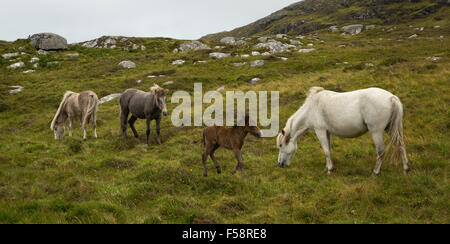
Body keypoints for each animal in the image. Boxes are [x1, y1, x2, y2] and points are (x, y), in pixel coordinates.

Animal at [276, 87, 410, 175]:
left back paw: (375, 172)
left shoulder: (320, 131)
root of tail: (392, 97)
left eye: (281, 145)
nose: (280, 164)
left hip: (376, 131)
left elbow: (326, 151)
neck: (311, 108)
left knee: (381, 150)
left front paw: (330, 169)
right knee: (401, 144)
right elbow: (329, 150)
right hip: (392, 128)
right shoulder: (327, 132)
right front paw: (328, 167)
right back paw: (406, 169)